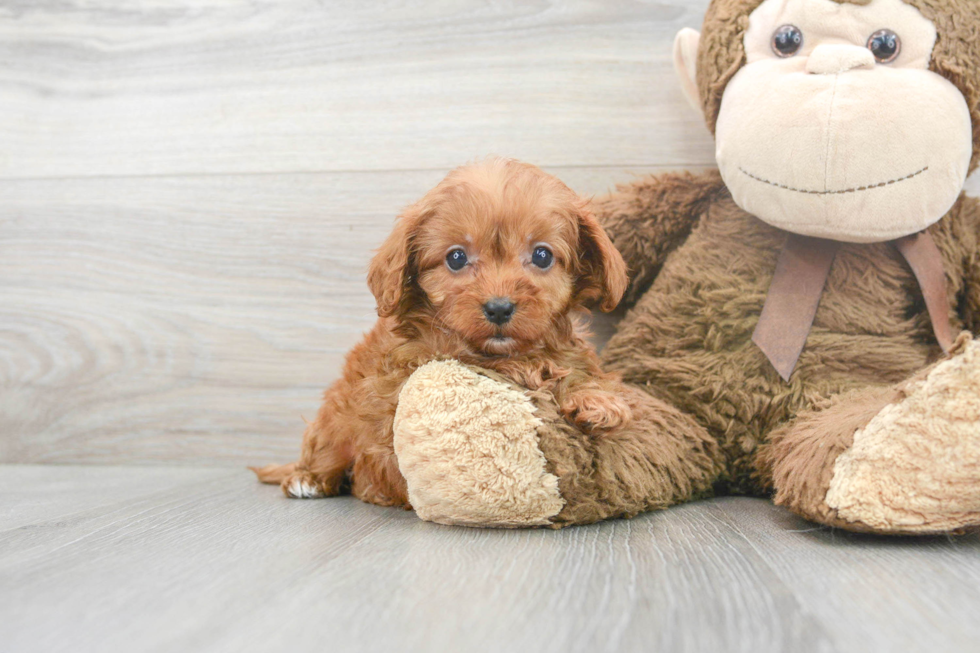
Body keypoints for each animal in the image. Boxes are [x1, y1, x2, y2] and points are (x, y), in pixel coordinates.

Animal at [253, 157, 628, 504]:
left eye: (542, 255)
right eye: (456, 258)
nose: (499, 307)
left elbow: (575, 369)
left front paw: (596, 399)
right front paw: (538, 372)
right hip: (334, 417)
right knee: (325, 449)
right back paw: (309, 478)